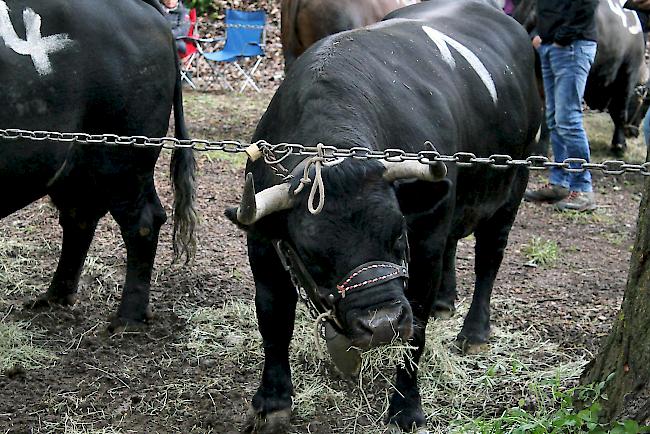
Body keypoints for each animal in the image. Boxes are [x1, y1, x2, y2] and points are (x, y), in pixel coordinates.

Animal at [0, 0, 197, 330]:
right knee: (79, 217)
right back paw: (53, 298)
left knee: (142, 221)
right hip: (76, 166)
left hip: (122, 157)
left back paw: (127, 319)